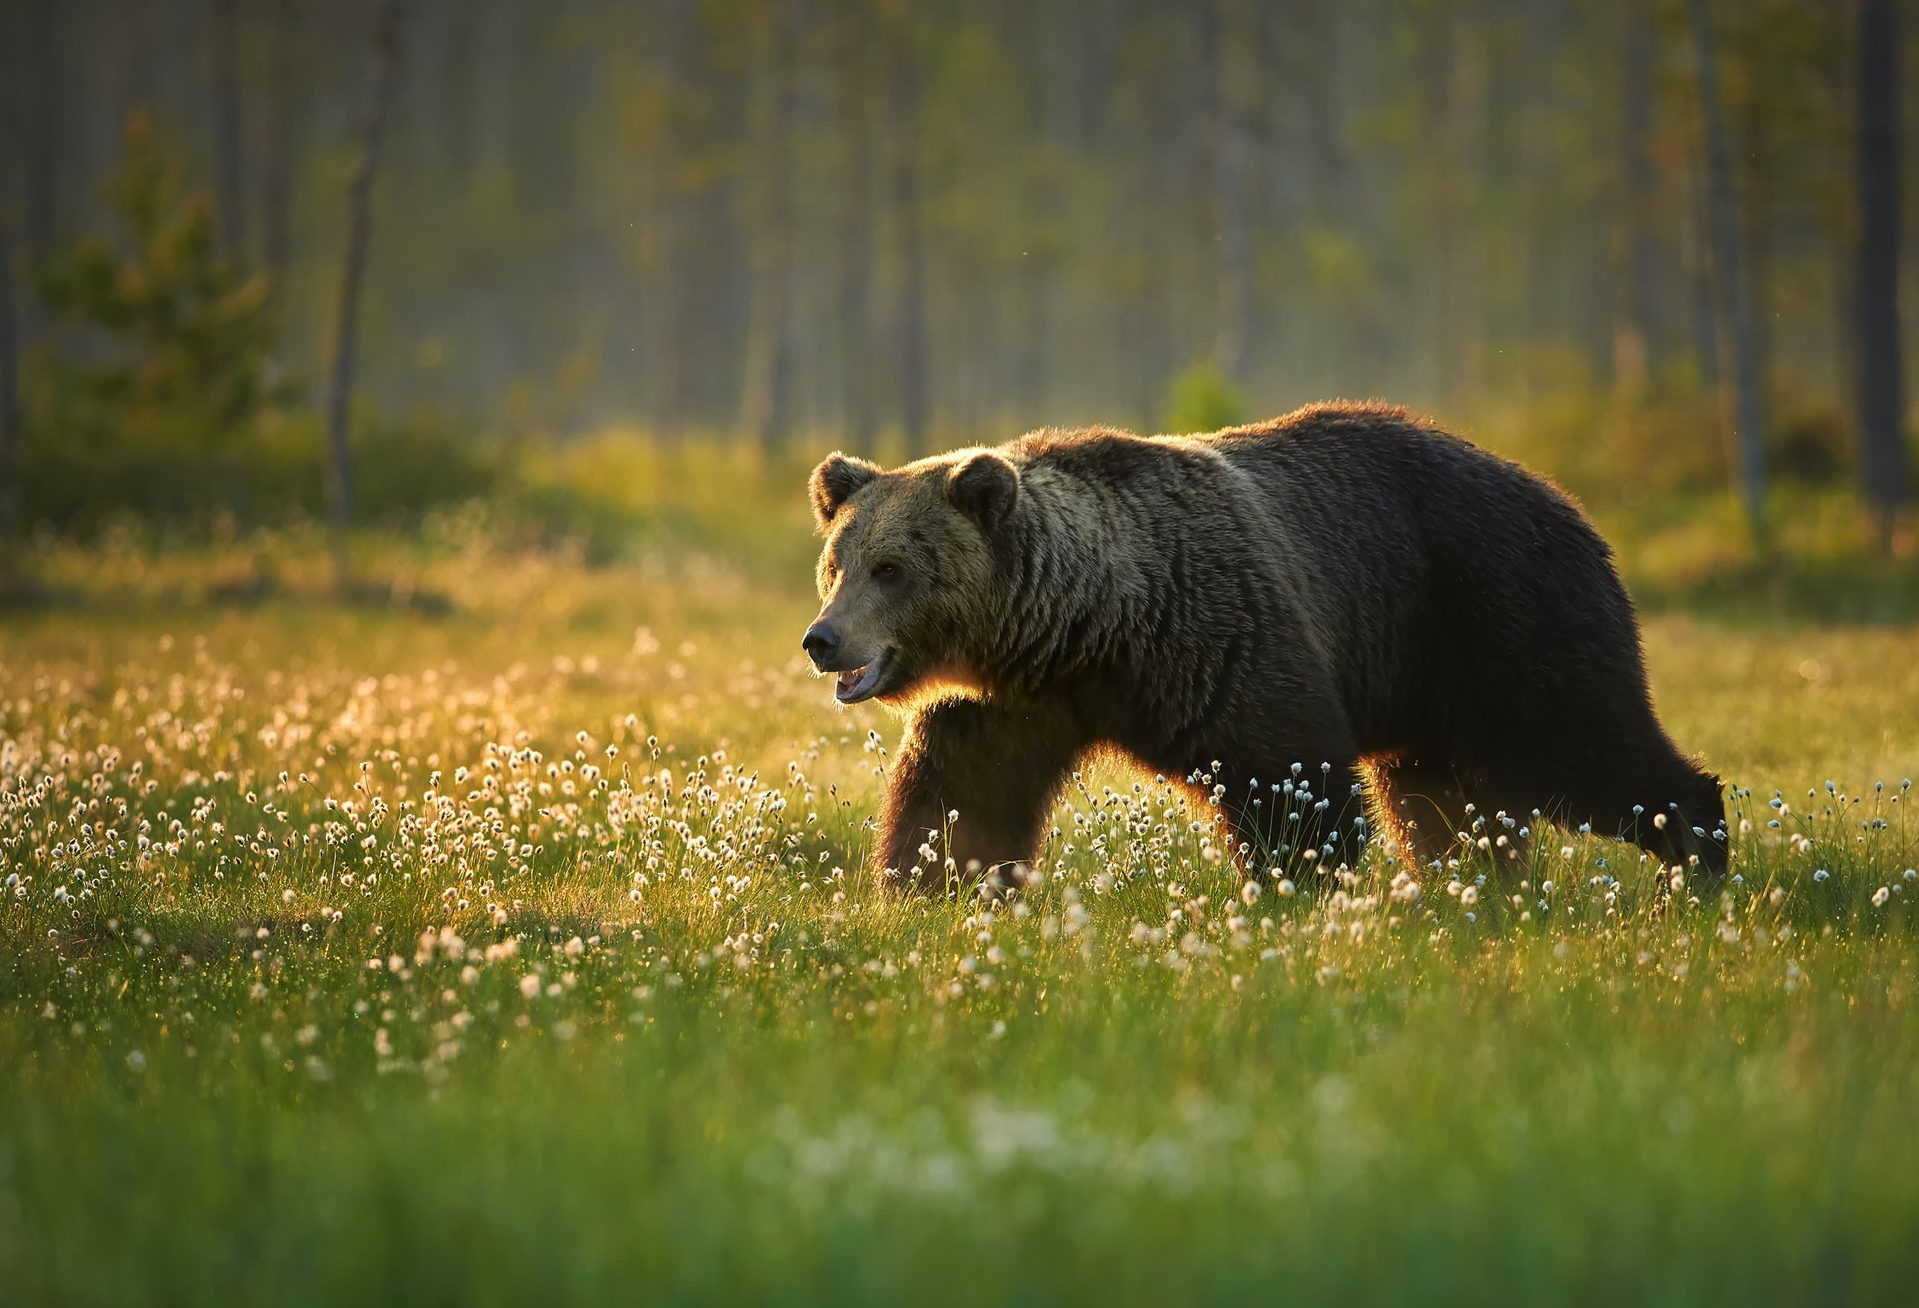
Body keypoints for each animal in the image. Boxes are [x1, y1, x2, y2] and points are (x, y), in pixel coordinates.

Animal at [801, 402, 1727, 892]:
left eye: (892, 568)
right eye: (837, 563)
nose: (822, 640)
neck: (1084, 628)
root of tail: (1566, 501)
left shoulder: (1215, 636)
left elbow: (1286, 776)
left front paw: (1293, 887)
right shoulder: (1010, 703)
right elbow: (962, 796)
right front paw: (933, 885)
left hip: (1498, 615)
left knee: (1584, 744)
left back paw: (1694, 862)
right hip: (1428, 686)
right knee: (1443, 803)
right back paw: (1472, 889)